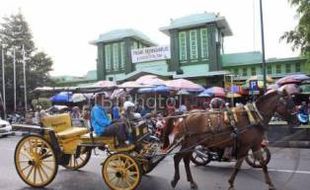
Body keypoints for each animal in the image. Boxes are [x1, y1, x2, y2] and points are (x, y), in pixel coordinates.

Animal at [163, 90, 300, 190]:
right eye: (289, 102)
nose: (297, 121)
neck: (253, 117)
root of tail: (185, 115)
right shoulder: (245, 145)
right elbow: (238, 165)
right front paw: (230, 183)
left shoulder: (255, 145)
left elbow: (263, 164)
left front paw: (270, 184)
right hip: (190, 142)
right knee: (178, 158)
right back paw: (175, 180)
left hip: (191, 143)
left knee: (185, 160)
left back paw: (191, 182)